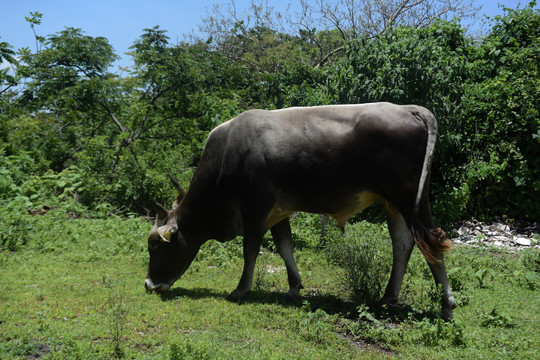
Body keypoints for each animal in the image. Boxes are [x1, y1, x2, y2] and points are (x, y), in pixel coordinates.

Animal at [144, 102, 456, 320]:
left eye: (156, 246)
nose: (148, 284)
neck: (227, 155)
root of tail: (407, 108)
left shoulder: (255, 209)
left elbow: (251, 250)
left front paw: (241, 289)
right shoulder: (278, 213)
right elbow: (285, 247)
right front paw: (294, 286)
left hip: (409, 199)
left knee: (432, 243)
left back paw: (446, 305)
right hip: (393, 203)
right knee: (402, 244)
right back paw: (387, 297)